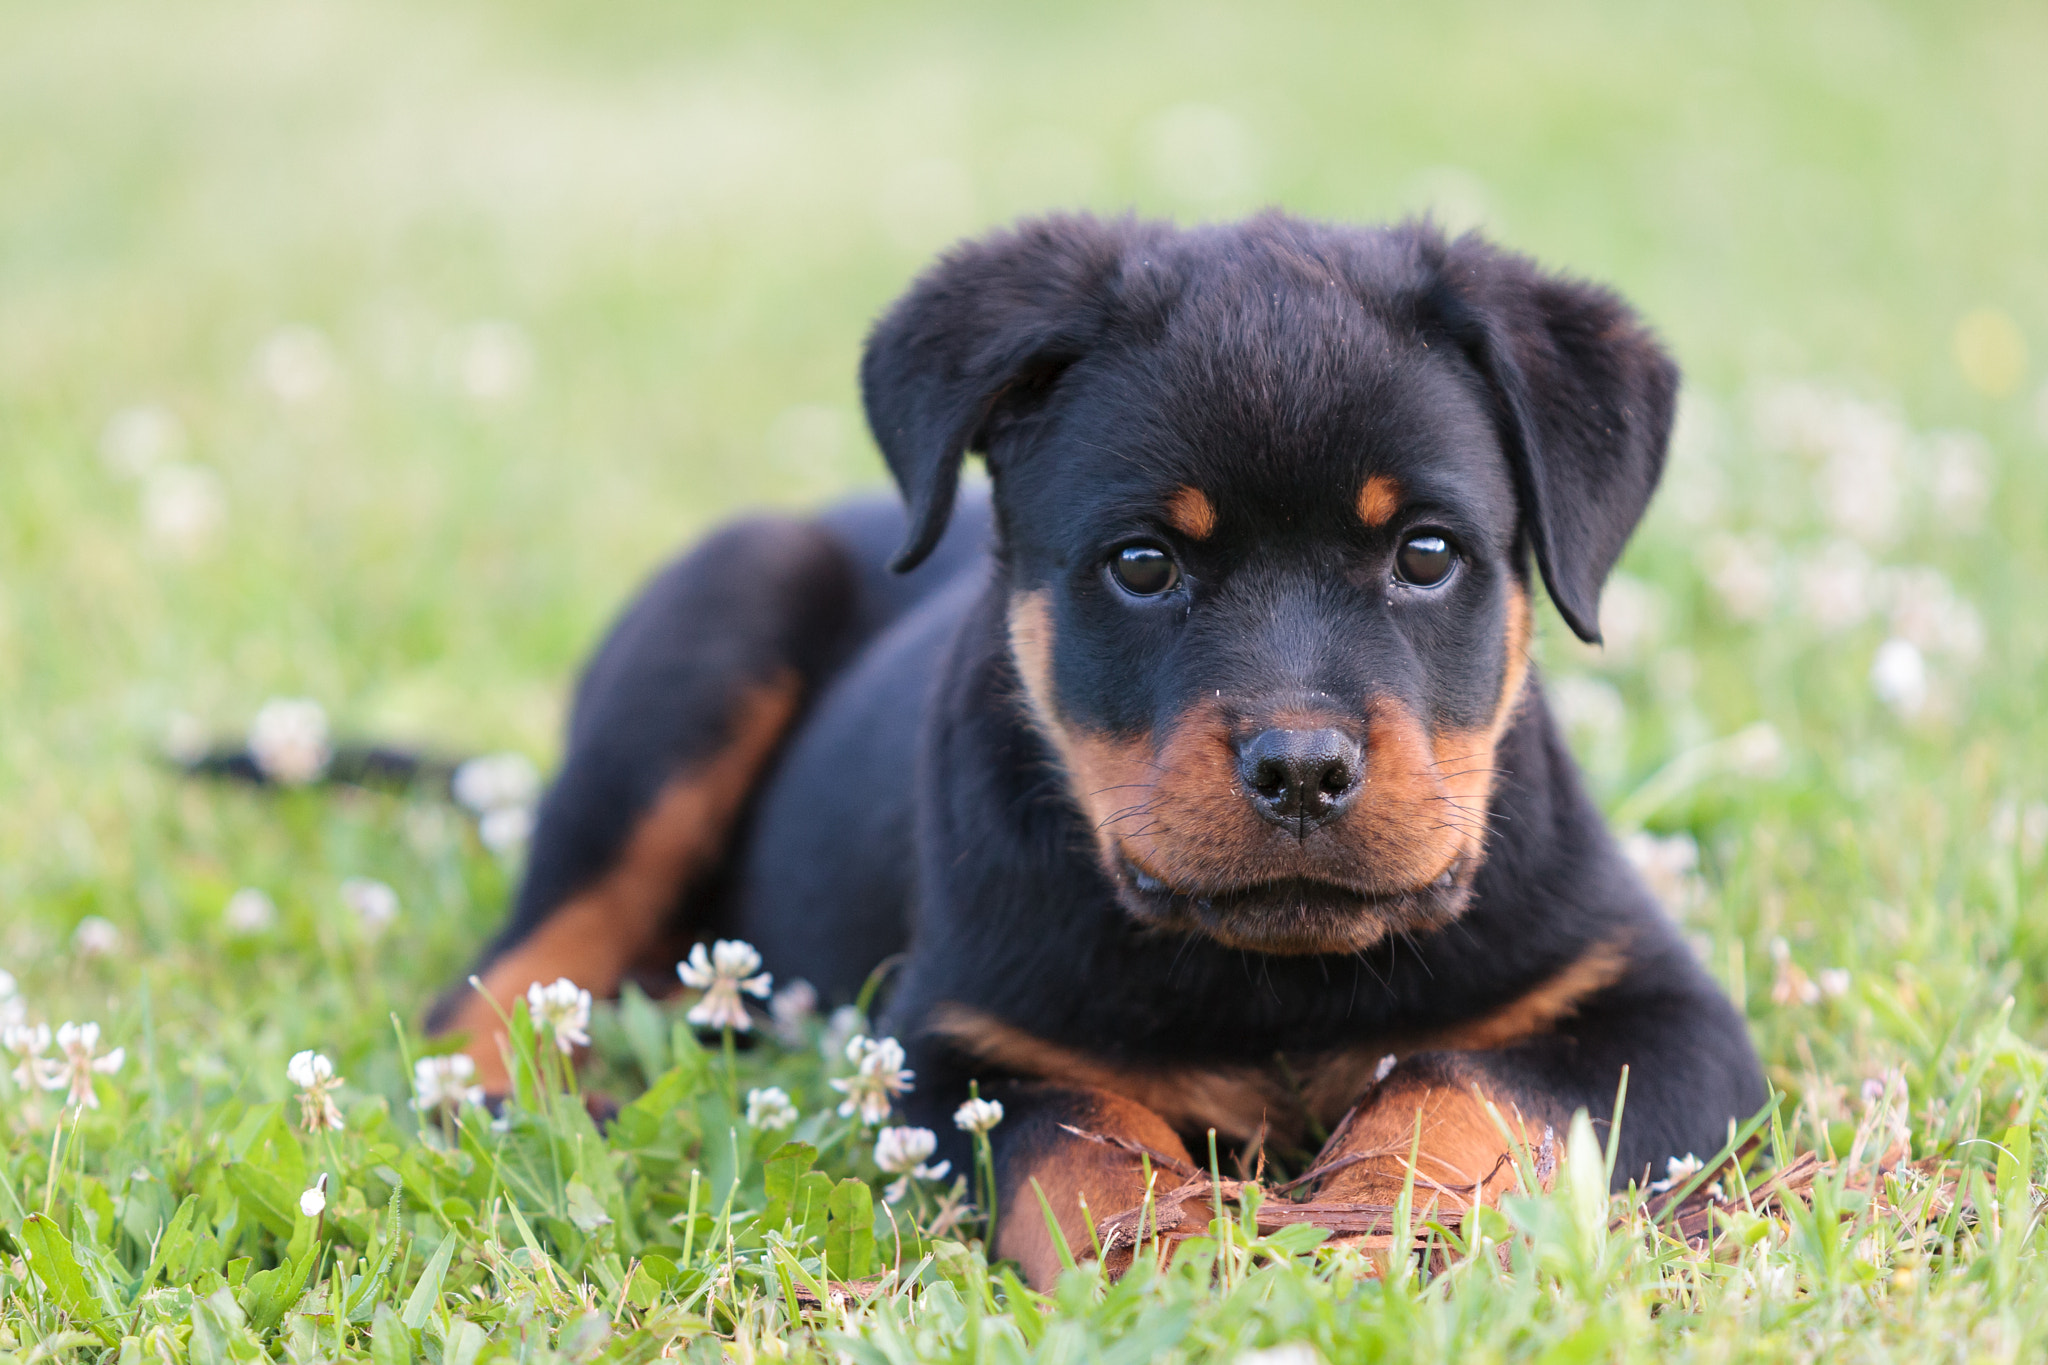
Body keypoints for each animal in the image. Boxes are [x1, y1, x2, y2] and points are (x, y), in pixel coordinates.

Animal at [428, 213, 1761, 1293]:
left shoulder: (1663, 1015)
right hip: (705, 643)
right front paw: (1174, 1257)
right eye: (1141, 564)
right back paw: (512, 1096)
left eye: (1425, 554)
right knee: (507, 971)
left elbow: (1456, 1084)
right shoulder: (951, 1050)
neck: (1272, 978)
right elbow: (1080, 1143)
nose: (1300, 769)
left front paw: (1373, 1221)